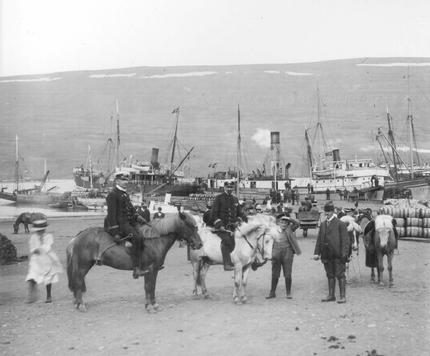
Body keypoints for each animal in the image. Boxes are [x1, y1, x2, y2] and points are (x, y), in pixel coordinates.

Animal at [66, 211, 203, 312]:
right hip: (83, 266)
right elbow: (149, 287)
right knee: (78, 281)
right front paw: (150, 306)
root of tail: (79, 236)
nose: (200, 244)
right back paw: (81, 304)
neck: (154, 240)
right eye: (190, 226)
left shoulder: (152, 270)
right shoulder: (151, 269)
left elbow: (150, 287)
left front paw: (152, 304)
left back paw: (78, 303)